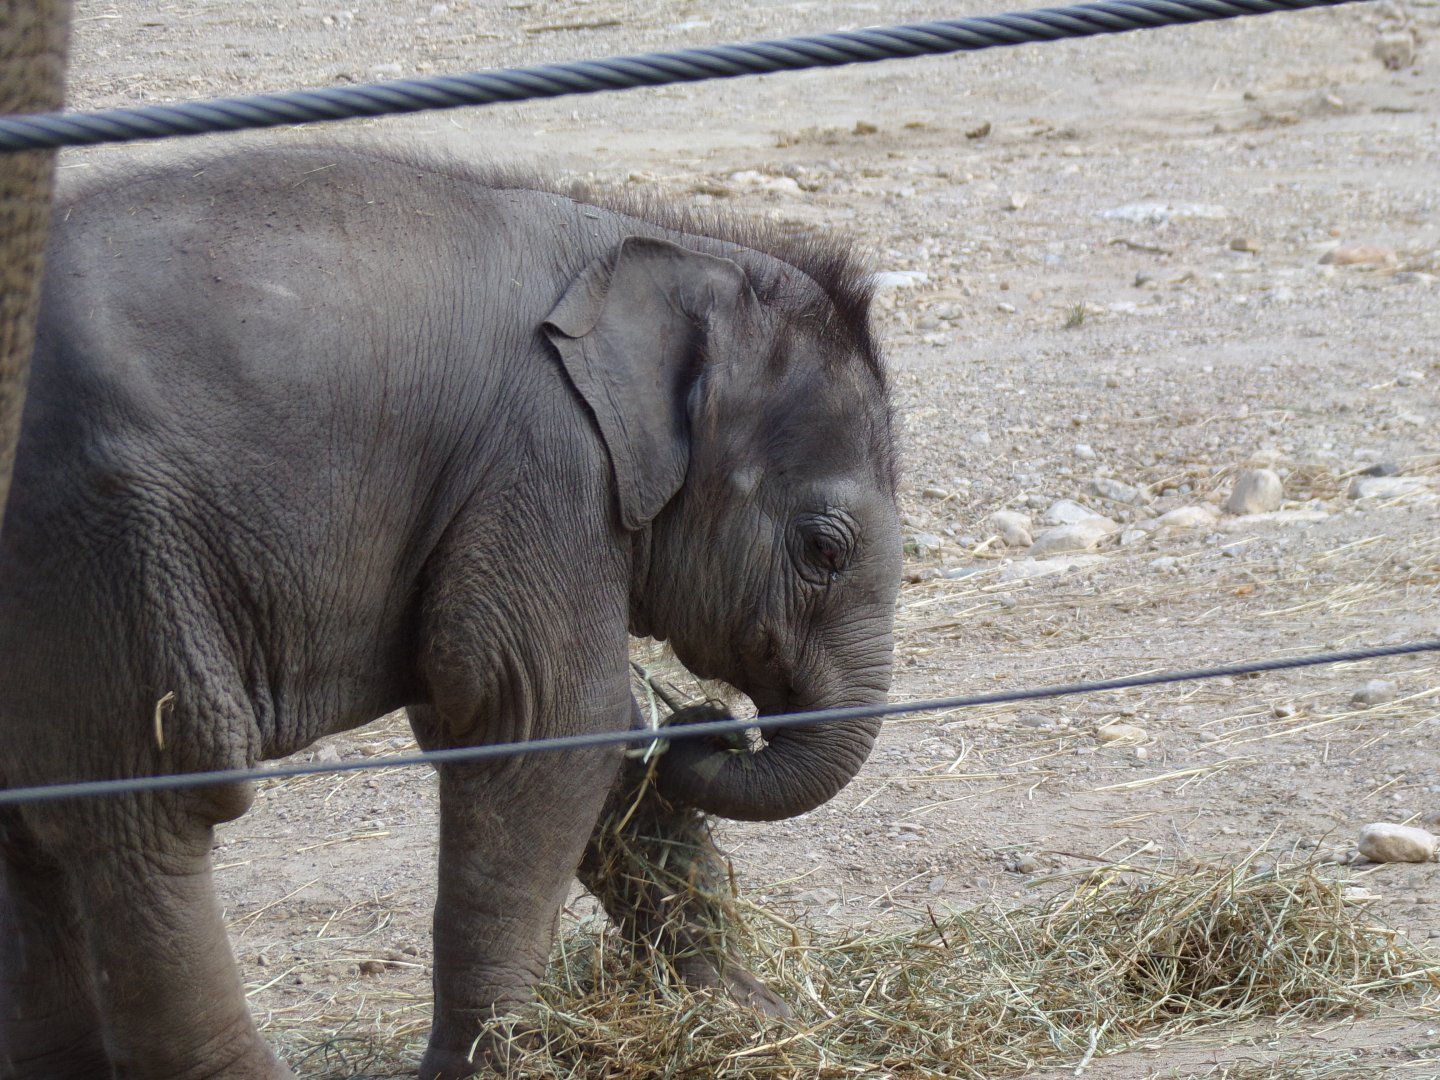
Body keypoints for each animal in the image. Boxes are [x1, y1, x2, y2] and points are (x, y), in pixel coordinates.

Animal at [0, 142, 902, 1079]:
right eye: (823, 550)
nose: (712, 722)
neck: (645, 238)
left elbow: (576, 729)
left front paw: (744, 1014)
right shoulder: (544, 462)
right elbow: (543, 721)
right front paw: (494, 1063)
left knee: (31, 835)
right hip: (106, 551)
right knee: (154, 812)